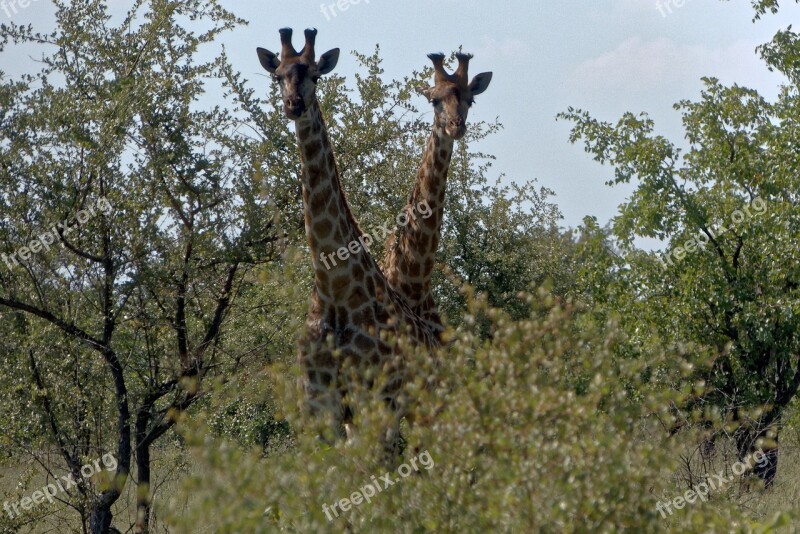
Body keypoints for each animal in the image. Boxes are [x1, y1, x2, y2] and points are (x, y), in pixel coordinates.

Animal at [258, 28, 438, 456]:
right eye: (278, 76)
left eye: (315, 75)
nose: (294, 104)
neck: (333, 285)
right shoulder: (318, 403)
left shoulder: (371, 396)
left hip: (412, 403)